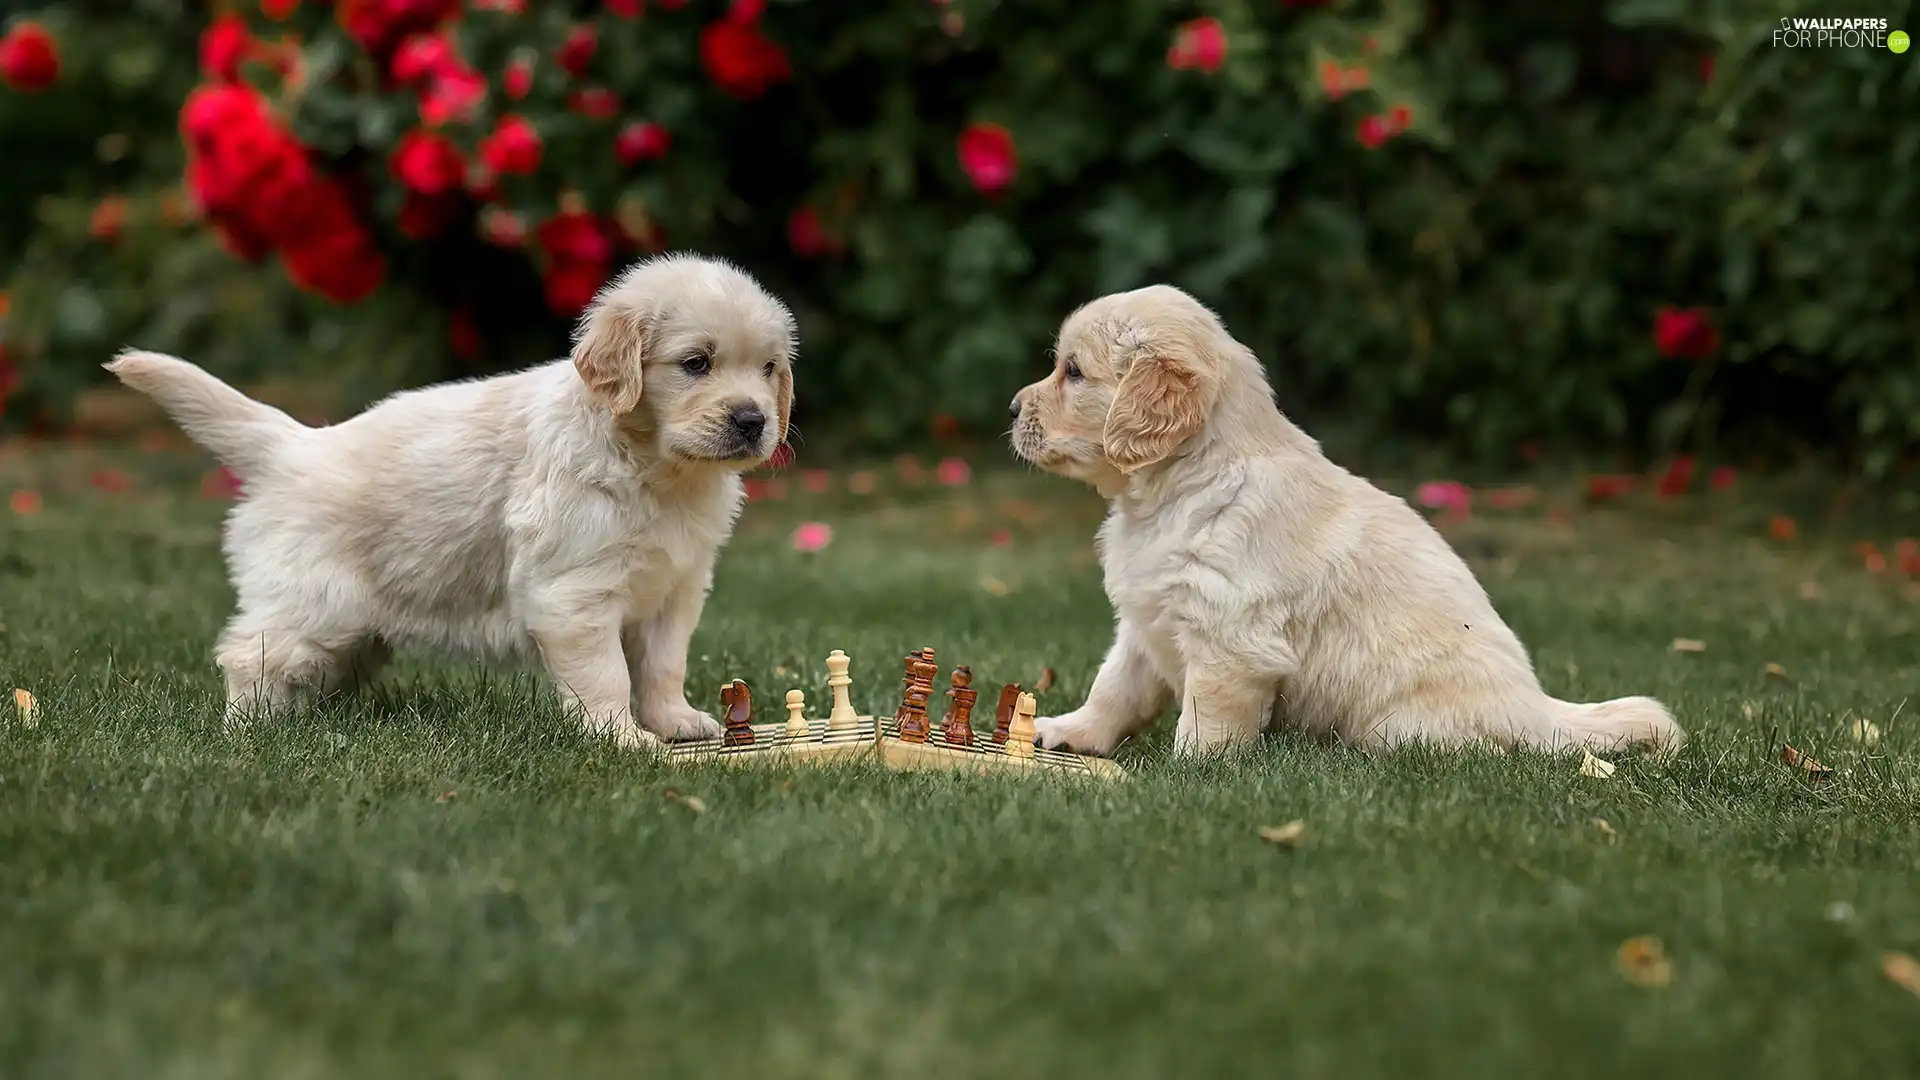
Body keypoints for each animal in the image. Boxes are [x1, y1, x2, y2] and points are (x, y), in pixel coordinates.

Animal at [107, 251, 794, 745]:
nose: (753, 420)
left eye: (768, 369)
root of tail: (293, 445)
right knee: (250, 655)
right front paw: (623, 741)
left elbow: (661, 665)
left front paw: (676, 721)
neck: (658, 467)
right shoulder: (574, 595)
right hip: (315, 603)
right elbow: (606, 677)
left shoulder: (676, 588)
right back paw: (247, 734)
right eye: (696, 363)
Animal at [1006, 286, 1681, 757]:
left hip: (1405, 726)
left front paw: (1191, 775)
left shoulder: (1231, 637)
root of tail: (1539, 709)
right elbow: (1114, 686)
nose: (1011, 408)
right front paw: (1069, 731)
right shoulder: (1146, 622)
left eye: (1073, 371)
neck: (1172, 493)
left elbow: (1208, 721)